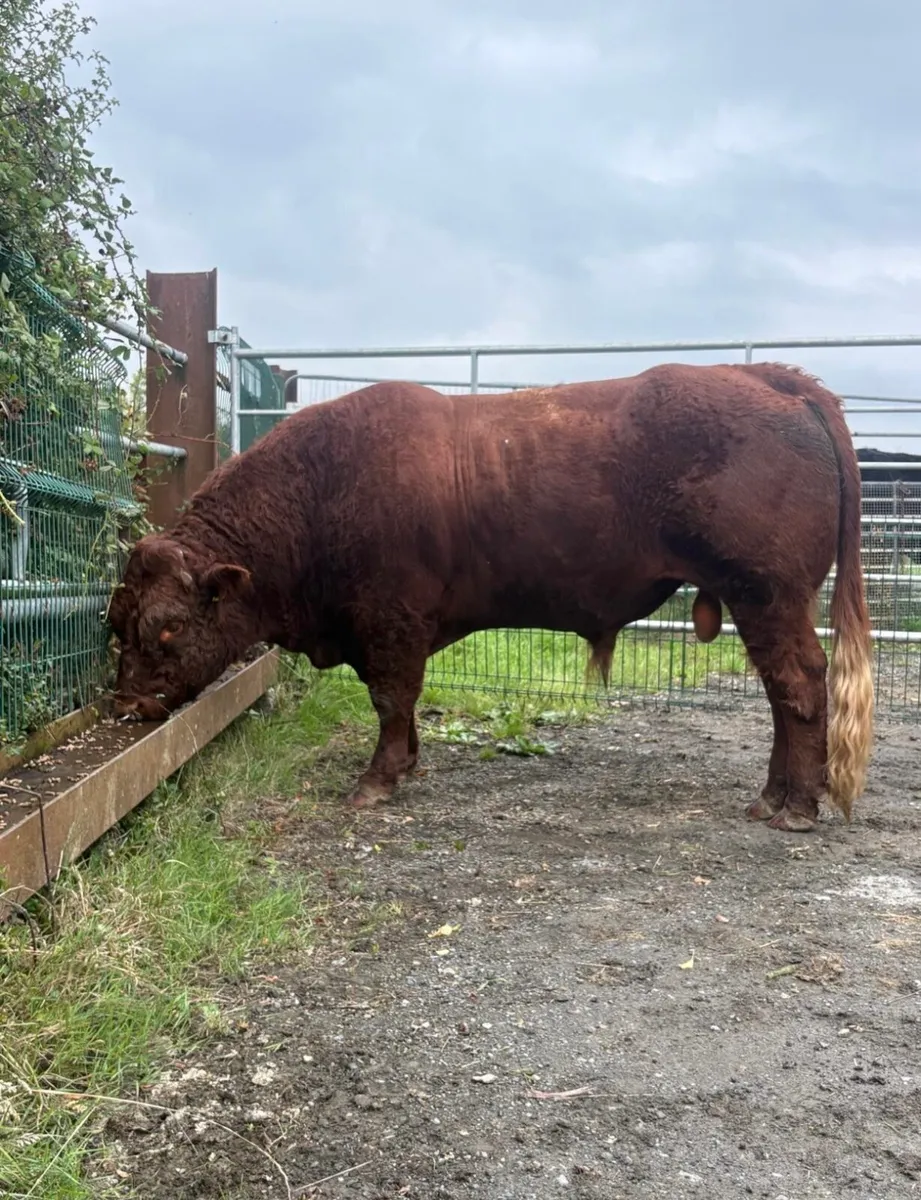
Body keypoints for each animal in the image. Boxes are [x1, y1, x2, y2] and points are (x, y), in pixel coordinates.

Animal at [109, 362, 874, 834]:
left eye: (168, 627)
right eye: (117, 622)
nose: (130, 705)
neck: (317, 488)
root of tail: (769, 378)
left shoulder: (390, 623)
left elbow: (390, 698)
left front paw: (375, 781)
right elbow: (401, 706)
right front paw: (408, 763)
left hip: (768, 596)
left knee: (800, 686)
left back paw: (795, 808)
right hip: (763, 603)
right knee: (782, 695)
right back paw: (772, 798)